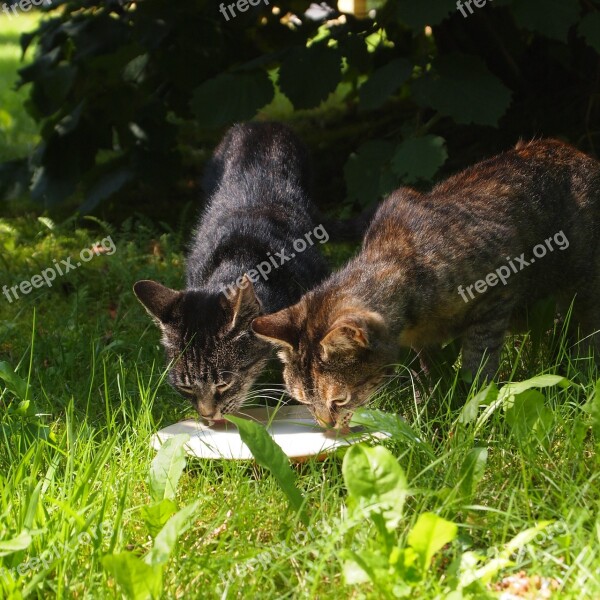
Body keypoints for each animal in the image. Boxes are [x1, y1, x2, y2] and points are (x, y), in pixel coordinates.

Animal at [251, 138, 600, 428]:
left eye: (339, 400)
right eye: (302, 400)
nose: (326, 427)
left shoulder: (495, 299)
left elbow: (478, 361)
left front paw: (473, 404)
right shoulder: (422, 342)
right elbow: (429, 374)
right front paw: (430, 405)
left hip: (582, 284)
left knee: (586, 329)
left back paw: (583, 367)